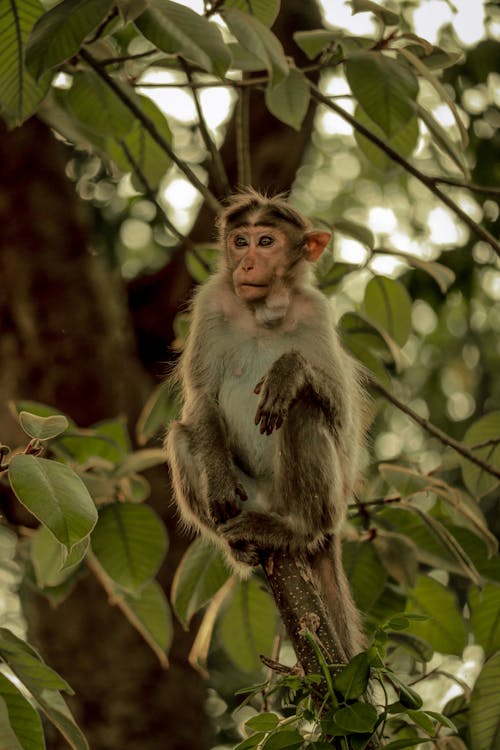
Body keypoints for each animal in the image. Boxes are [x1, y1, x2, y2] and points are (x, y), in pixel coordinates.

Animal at [165, 189, 368, 664]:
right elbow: (202, 398)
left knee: (304, 411)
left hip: (325, 501)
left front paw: (289, 370)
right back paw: (241, 546)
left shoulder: (317, 311)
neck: (263, 312)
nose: (246, 265)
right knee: (183, 435)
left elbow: (340, 414)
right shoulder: (211, 301)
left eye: (266, 241)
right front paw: (219, 479)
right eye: (240, 242)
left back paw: (295, 530)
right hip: (250, 496)